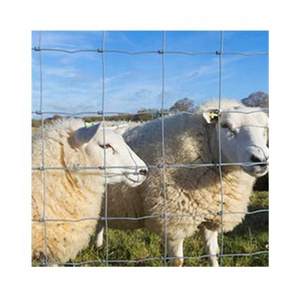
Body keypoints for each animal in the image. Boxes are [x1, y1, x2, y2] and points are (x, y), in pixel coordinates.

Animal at [96, 99, 270, 266]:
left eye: (264, 129)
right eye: (225, 126)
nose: (261, 159)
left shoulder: (212, 215)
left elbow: (213, 253)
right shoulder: (174, 221)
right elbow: (178, 261)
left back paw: (98, 246)